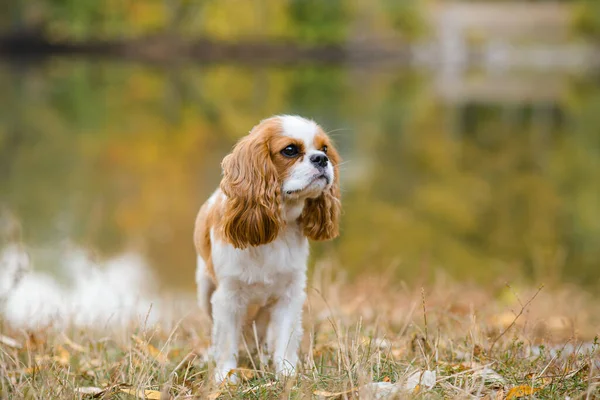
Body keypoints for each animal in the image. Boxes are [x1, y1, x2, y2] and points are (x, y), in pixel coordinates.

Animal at [193, 115, 340, 382]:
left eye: (324, 149)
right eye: (290, 150)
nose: (321, 159)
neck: (278, 227)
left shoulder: (289, 295)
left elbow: (285, 338)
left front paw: (287, 373)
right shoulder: (227, 298)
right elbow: (226, 342)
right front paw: (226, 376)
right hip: (204, 290)